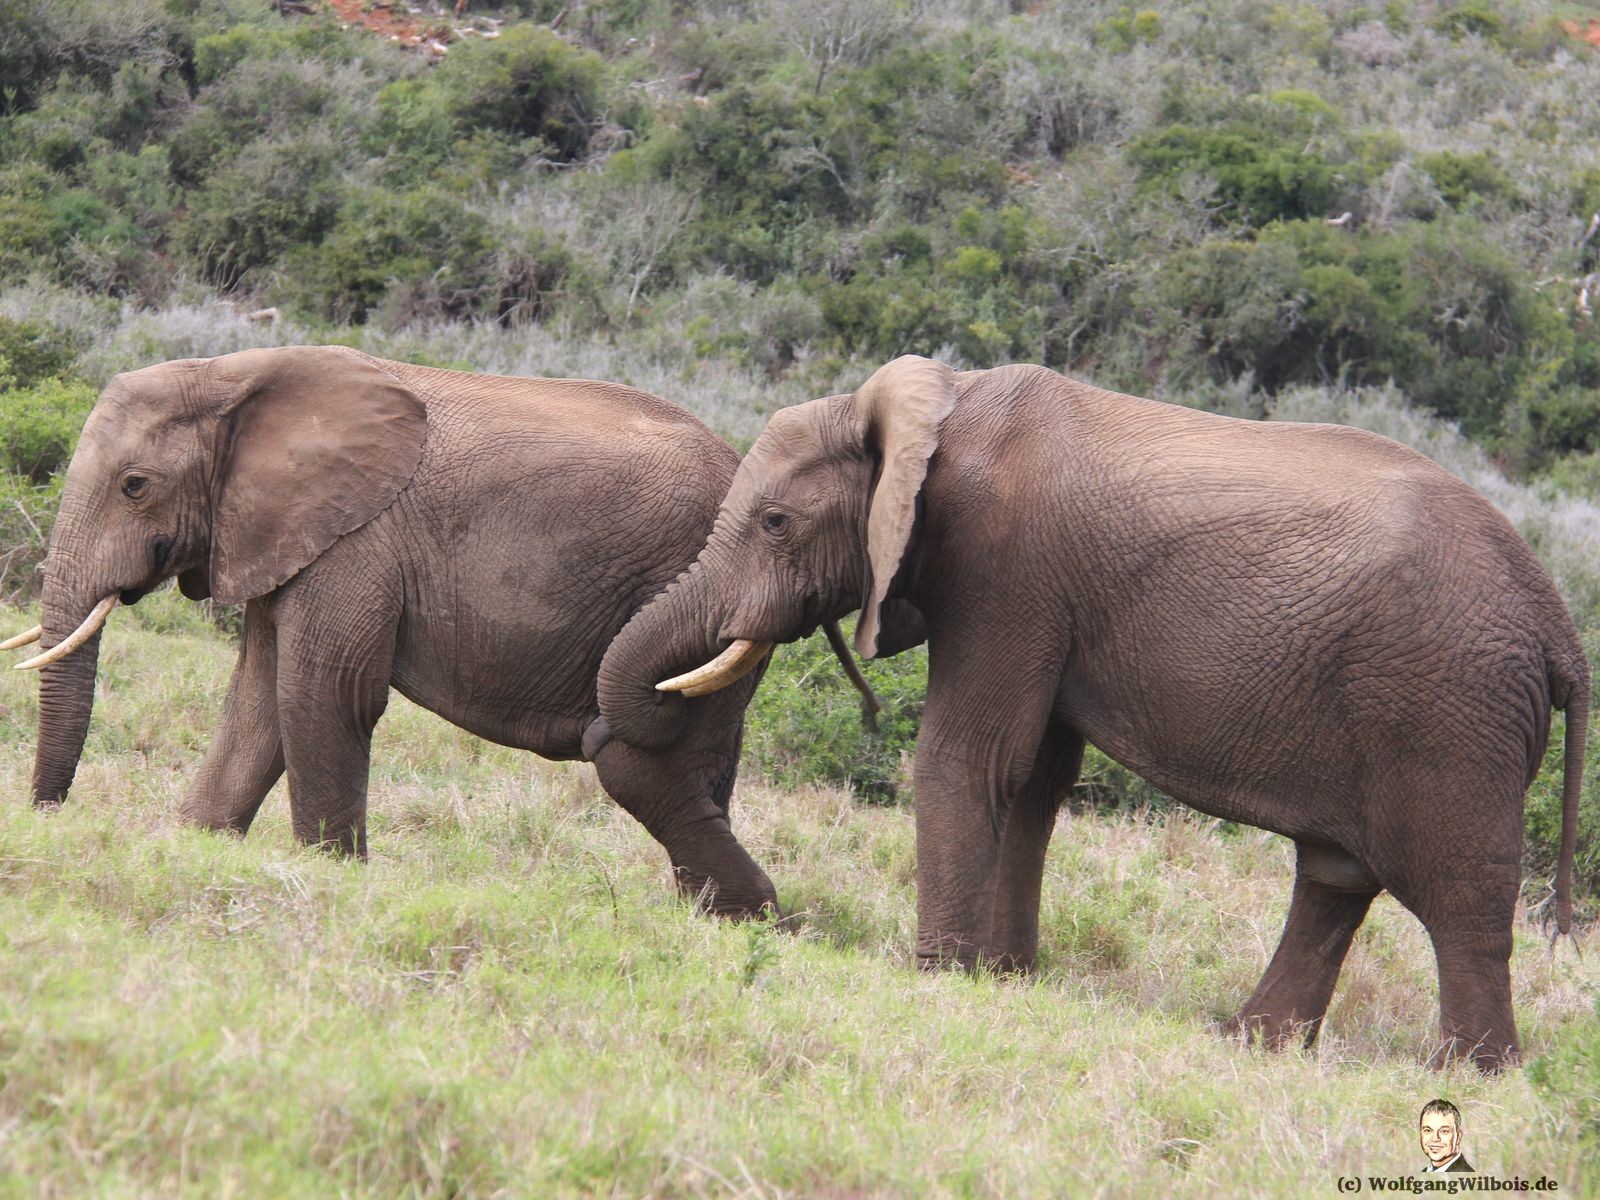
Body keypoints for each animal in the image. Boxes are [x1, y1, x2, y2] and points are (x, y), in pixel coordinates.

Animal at [9, 347, 787, 921]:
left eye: (135, 486)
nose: (49, 815)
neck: (234, 372)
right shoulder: (280, 531)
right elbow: (257, 699)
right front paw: (196, 846)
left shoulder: (358, 541)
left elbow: (324, 693)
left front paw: (330, 876)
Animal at [601, 350, 1587, 1068]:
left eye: (773, 523)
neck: (933, 410)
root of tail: (1557, 624)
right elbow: (1035, 776)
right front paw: (1004, 980)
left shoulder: (1005, 571)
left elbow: (968, 756)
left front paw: (938, 978)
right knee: (1336, 875)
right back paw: (1253, 1045)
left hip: (1449, 713)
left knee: (1455, 897)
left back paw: (1472, 1075)